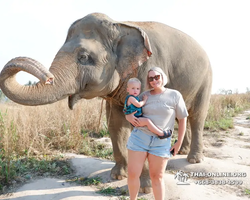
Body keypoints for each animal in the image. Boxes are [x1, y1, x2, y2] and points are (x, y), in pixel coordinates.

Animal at [0, 12, 213, 192]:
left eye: (84, 57)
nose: (48, 77)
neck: (120, 25)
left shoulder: (148, 69)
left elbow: (142, 124)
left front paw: (144, 189)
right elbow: (115, 124)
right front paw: (117, 176)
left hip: (206, 79)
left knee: (197, 116)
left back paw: (193, 159)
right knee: (181, 116)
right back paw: (178, 151)